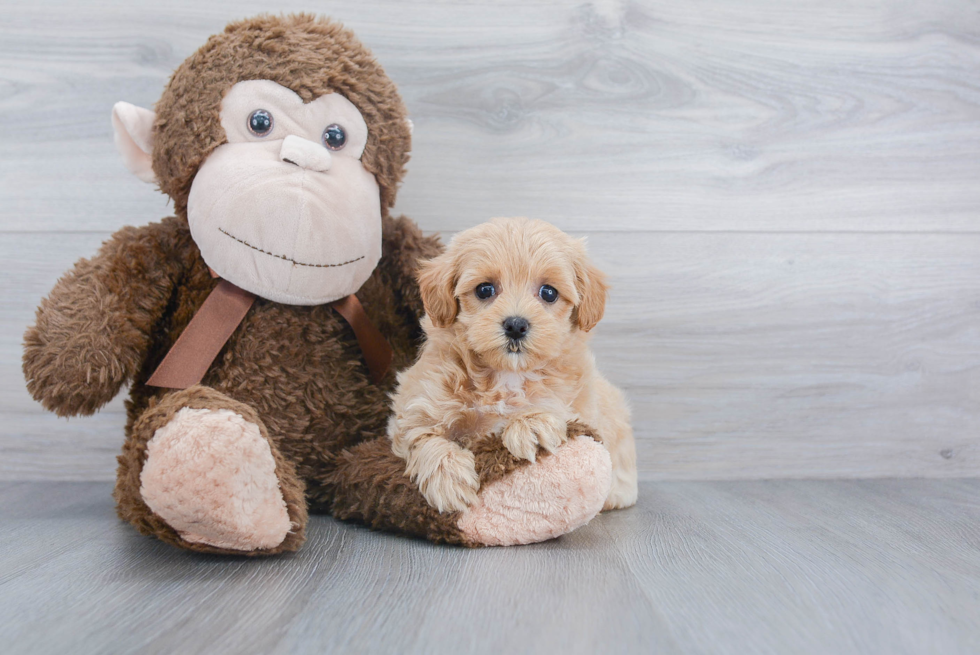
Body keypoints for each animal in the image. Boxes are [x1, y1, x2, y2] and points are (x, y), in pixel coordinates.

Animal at [386, 218, 640, 516]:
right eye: (484, 289)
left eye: (549, 293)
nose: (516, 325)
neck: (505, 375)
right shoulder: (416, 405)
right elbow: (423, 437)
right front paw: (448, 481)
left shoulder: (580, 400)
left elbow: (554, 402)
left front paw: (530, 425)